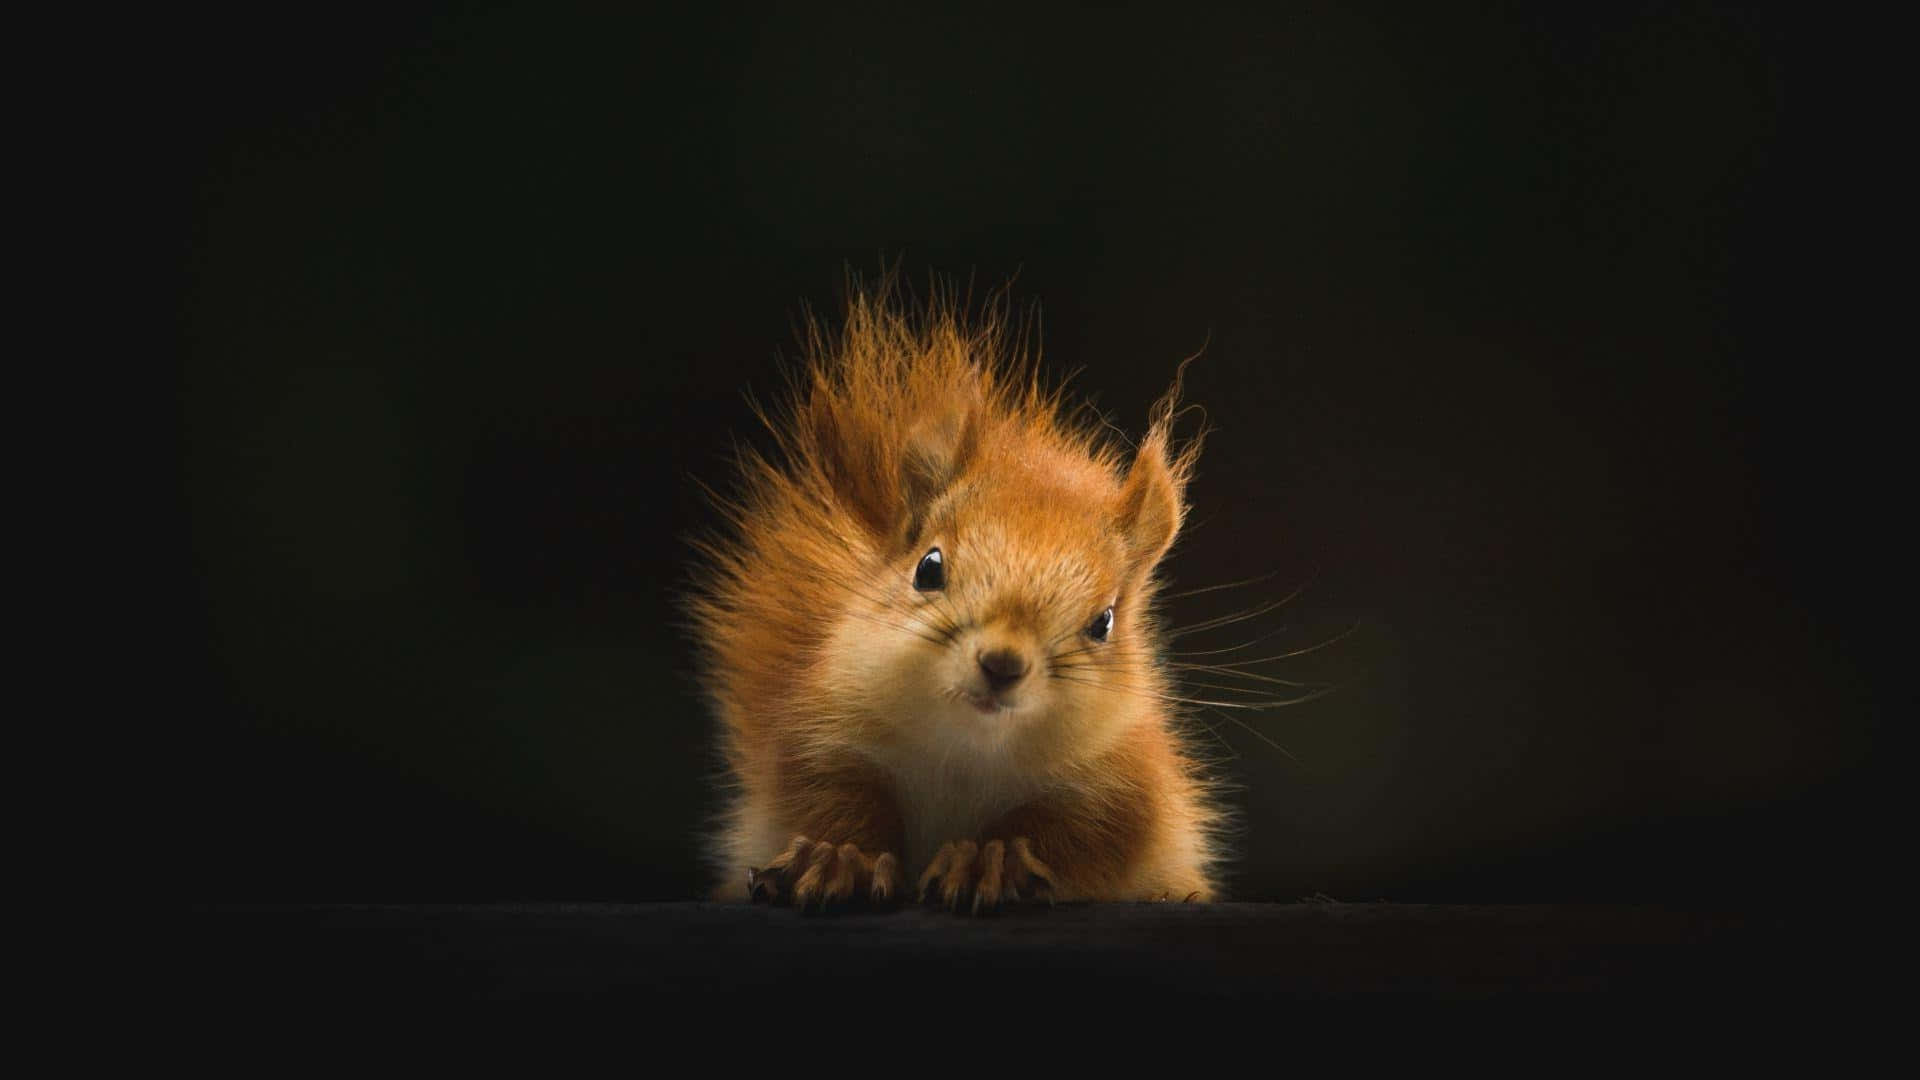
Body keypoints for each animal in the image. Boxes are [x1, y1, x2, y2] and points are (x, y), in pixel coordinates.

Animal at [686, 280, 1225, 912]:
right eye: (928, 568)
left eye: (1104, 622)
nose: (1002, 663)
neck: (967, 750)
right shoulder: (822, 732)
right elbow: (829, 798)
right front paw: (839, 856)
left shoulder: (1123, 784)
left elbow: (1080, 834)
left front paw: (989, 859)